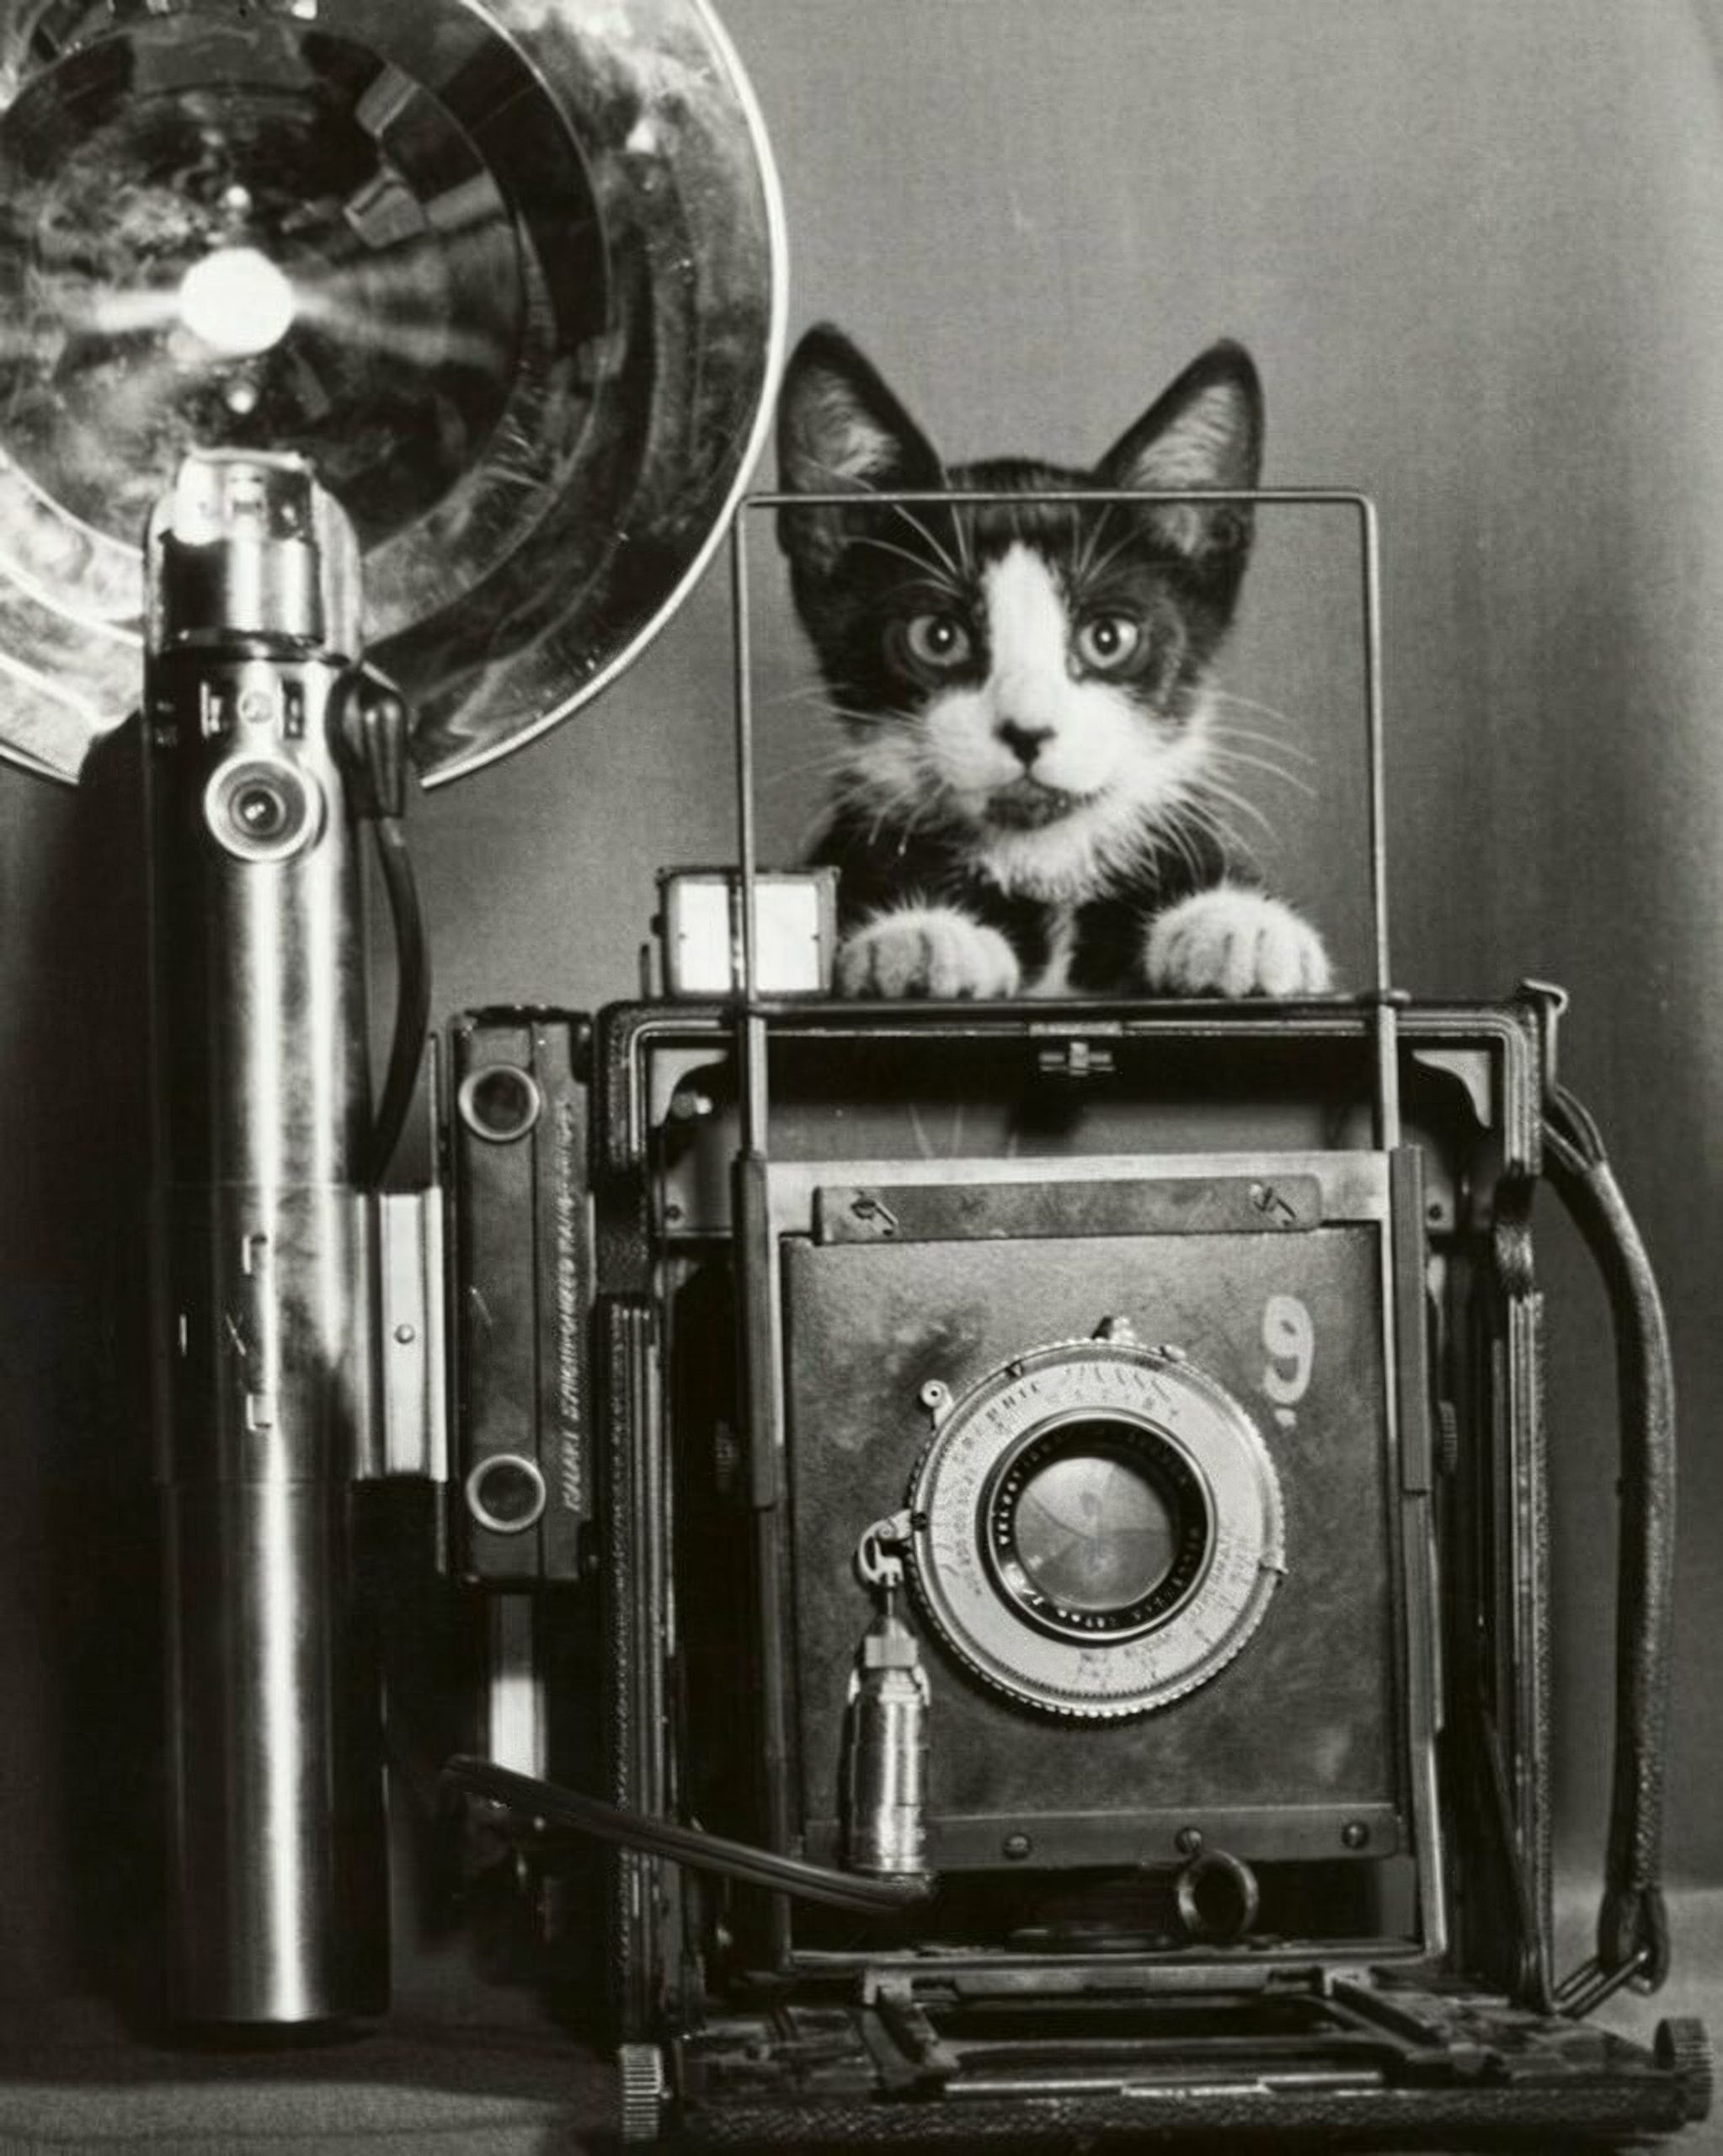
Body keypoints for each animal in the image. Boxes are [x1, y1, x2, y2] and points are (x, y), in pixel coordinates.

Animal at [775, 325, 1332, 1000]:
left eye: (1108, 637)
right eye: (937, 637)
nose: (1028, 731)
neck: (1042, 869)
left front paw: (1236, 922)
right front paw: (920, 934)